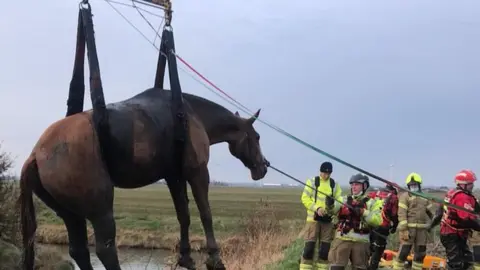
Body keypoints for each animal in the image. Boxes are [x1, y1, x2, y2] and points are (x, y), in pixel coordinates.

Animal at [18, 87, 270, 268]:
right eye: (257, 137)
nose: (264, 167)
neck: (189, 114)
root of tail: (35, 155)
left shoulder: (173, 177)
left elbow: (184, 216)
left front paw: (186, 257)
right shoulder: (198, 172)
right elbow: (205, 213)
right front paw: (214, 259)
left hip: (70, 215)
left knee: (79, 250)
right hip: (100, 210)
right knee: (105, 249)